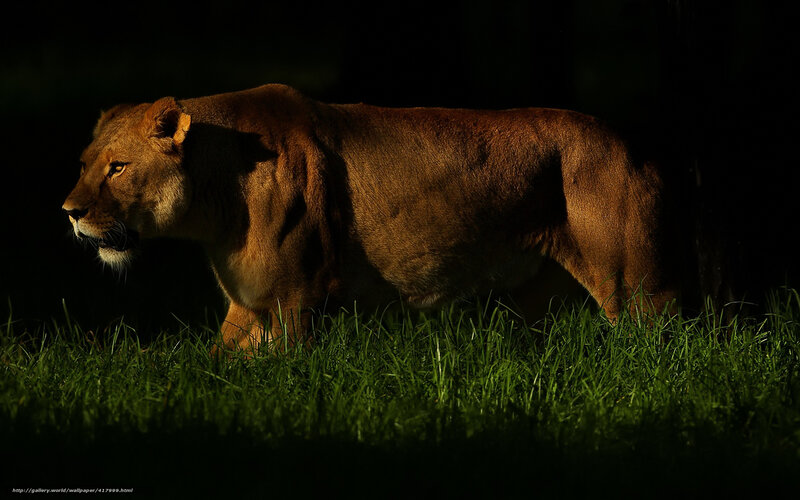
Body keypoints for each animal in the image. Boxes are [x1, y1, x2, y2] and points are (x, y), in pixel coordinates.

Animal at [63, 84, 678, 351]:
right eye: (85, 164)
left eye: (118, 168)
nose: (69, 213)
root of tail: (635, 146)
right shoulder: (250, 301)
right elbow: (216, 365)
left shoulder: (297, 296)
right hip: (540, 300)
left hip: (637, 288)